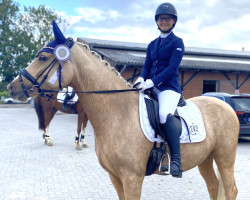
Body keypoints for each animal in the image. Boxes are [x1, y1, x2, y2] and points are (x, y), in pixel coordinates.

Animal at [7, 21, 238, 199]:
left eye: (43, 58)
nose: (11, 87)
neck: (118, 113)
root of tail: (225, 105)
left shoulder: (132, 178)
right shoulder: (115, 176)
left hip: (225, 158)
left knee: (230, 189)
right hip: (205, 159)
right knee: (214, 187)